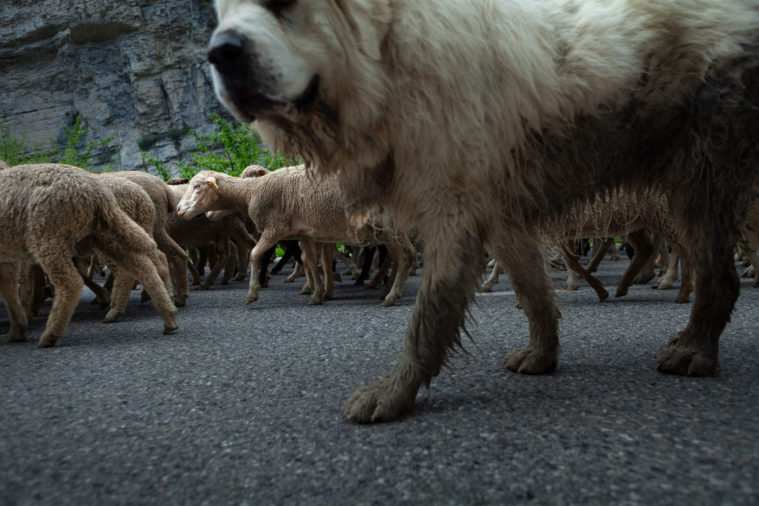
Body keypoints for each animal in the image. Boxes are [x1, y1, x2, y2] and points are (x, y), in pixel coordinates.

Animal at [0, 164, 180, 346]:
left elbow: (23, 281)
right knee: (149, 263)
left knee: (74, 282)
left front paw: (28, 312)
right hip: (114, 233)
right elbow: (9, 285)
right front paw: (19, 327)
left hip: (49, 237)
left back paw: (51, 334)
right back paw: (168, 313)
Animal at [177, 168, 412, 306]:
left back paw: (390, 295)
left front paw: (252, 293)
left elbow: (255, 254)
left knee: (406, 256)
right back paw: (388, 290)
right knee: (399, 257)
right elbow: (310, 261)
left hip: (389, 227)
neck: (252, 192)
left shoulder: (275, 228)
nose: (178, 209)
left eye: (197, 186)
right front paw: (317, 294)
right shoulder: (305, 234)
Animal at [206, 0, 759, 422]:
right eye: (224, 9)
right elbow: (534, 294)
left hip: (700, 175)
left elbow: (427, 318)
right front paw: (542, 354)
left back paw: (693, 346)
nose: (220, 53)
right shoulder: (499, 217)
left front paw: (393, 393)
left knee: (717, 274)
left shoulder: (453, 215)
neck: (392, 59)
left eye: (284, 4)